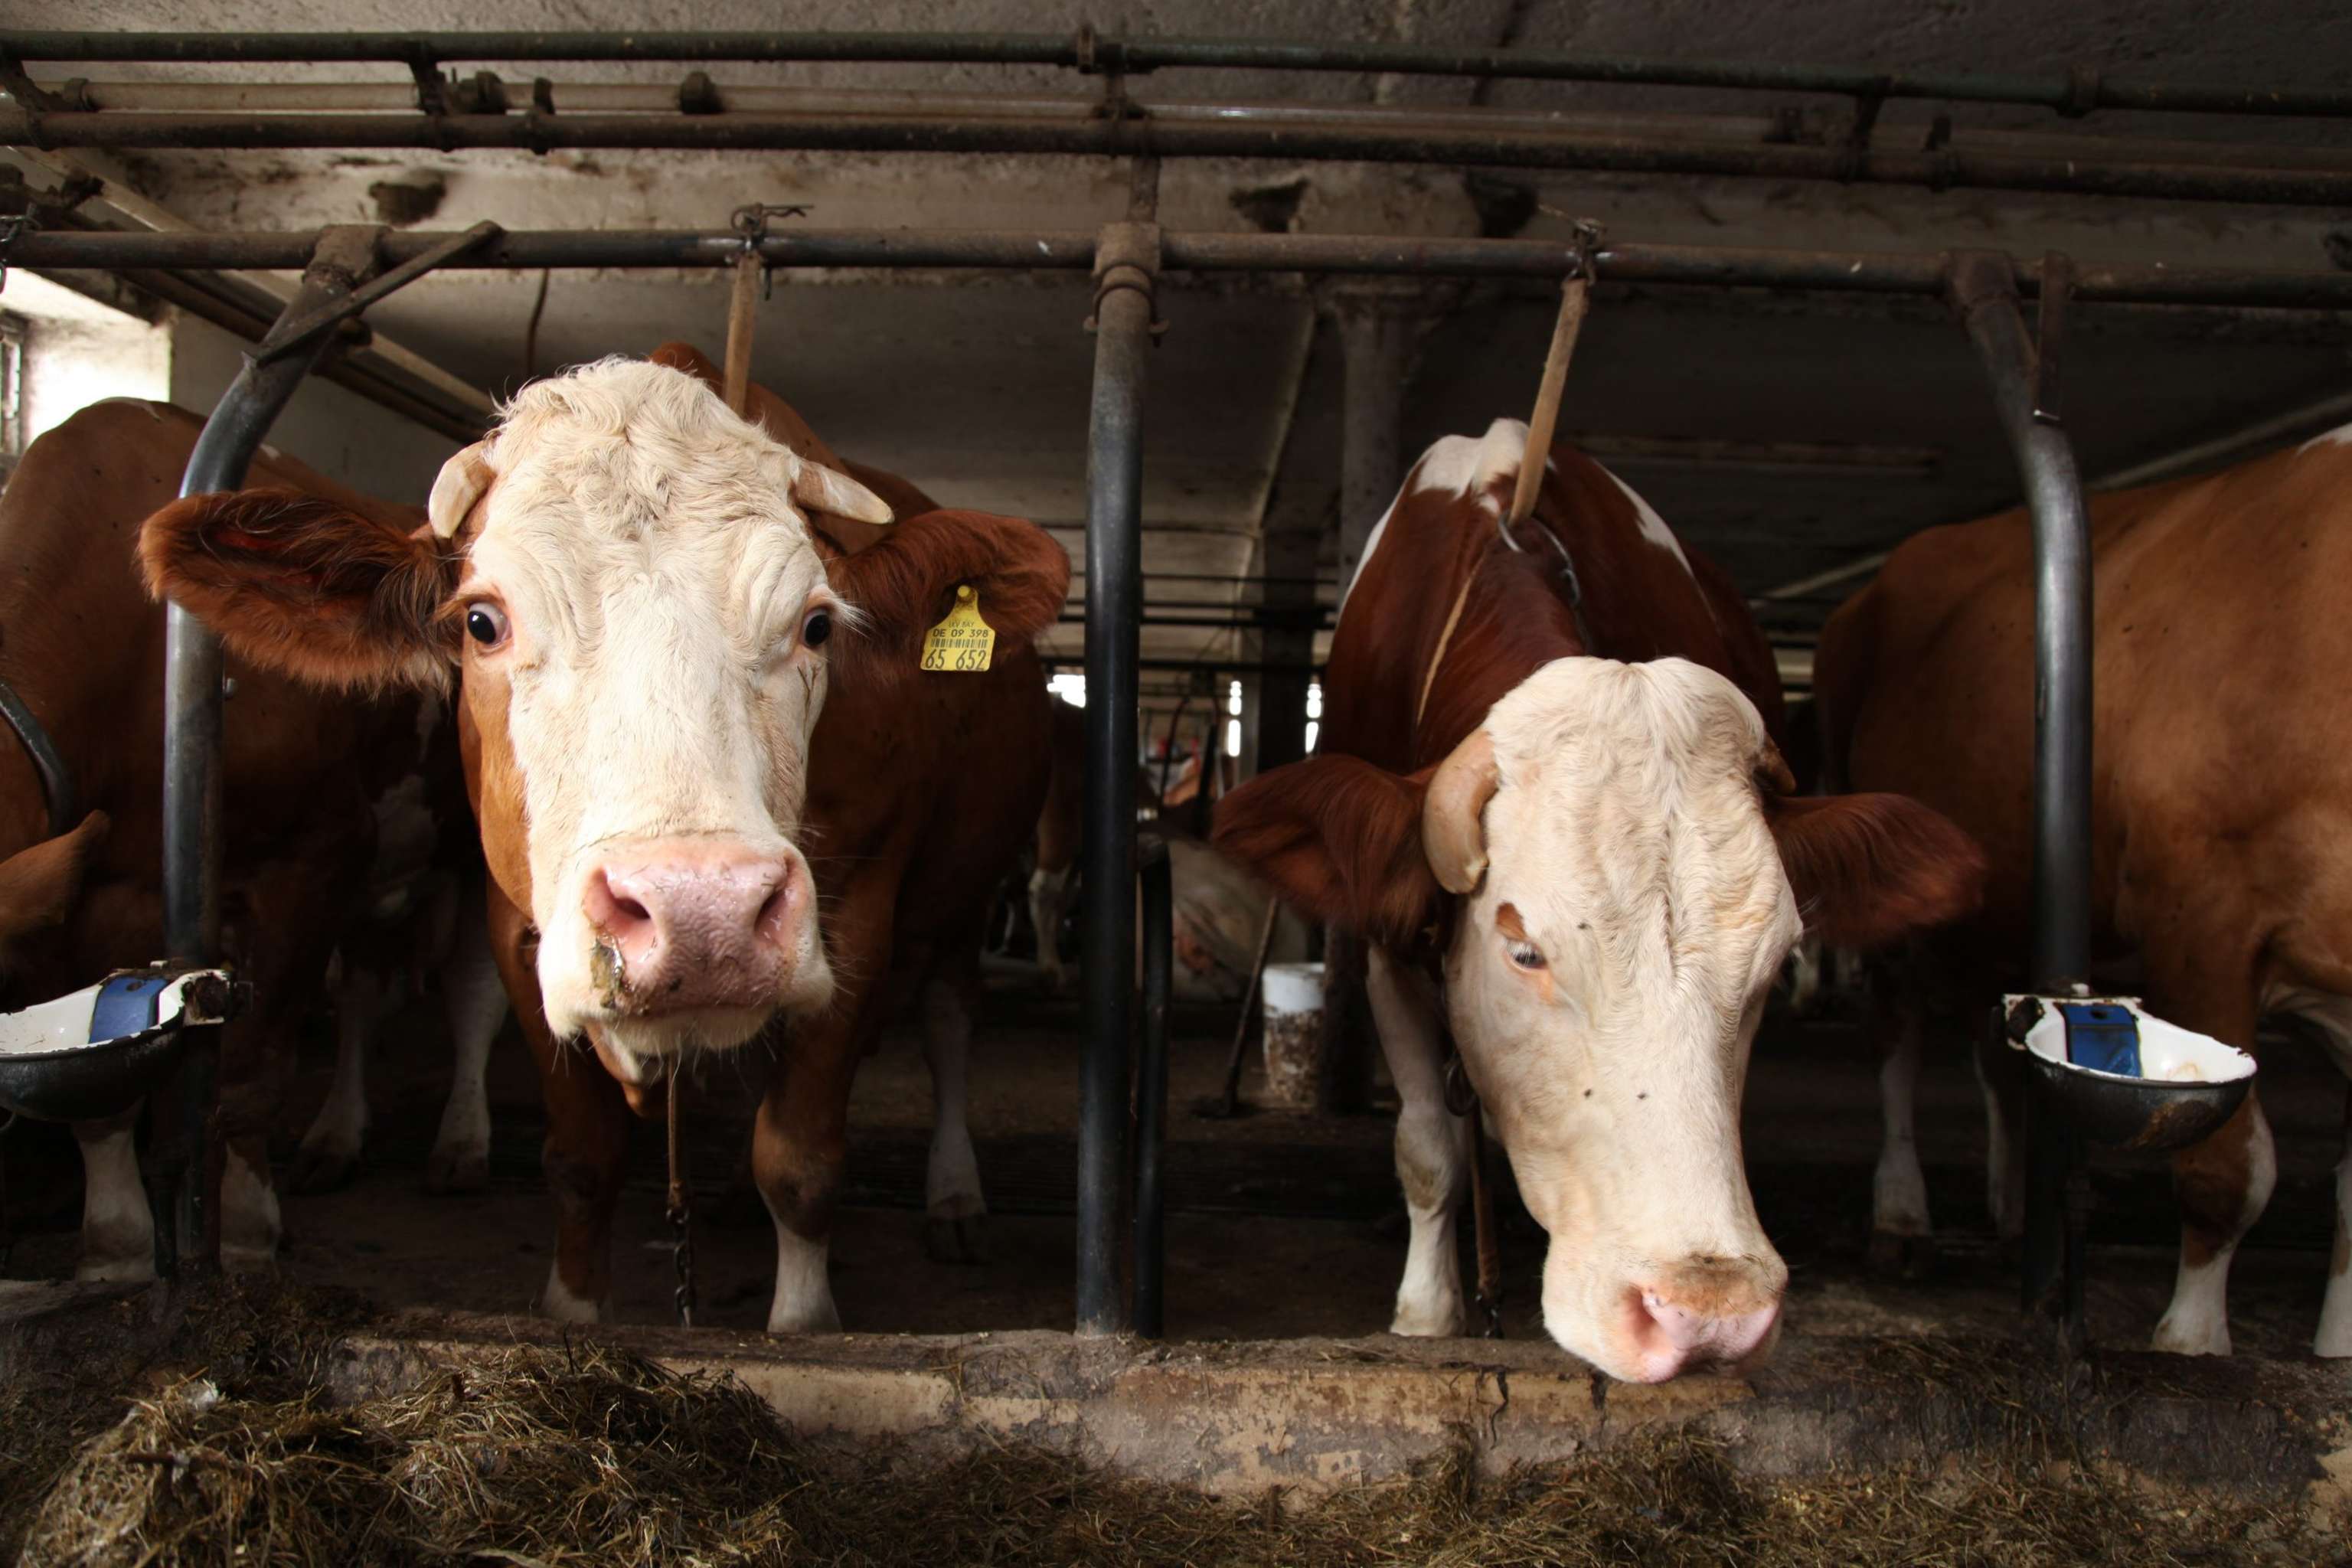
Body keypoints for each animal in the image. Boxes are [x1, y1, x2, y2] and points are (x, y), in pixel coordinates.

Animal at [0, 397, 477, 1279]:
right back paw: (335, 1137)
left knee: (470, 992)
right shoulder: (83, 889)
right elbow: (97, 1090)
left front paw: (248, 1231)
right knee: (363, 992)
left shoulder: (315, 853)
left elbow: (256, 1062)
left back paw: (461, 1142)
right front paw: (115, 1245)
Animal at [142, 345, 1068, 1329]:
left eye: (816, 623)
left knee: (949, 1019)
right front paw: (573, 1306)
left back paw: (955, 1193)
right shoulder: (518, 924)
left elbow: (801, 1161)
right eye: (482, 620)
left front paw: (804, 1324)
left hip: (965, 892)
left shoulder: (858, 915)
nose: (703, 913)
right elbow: (583, 1157)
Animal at [1214, 417, 1982, 1382]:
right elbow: (1426, 1147)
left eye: (1775, 963)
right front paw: (1428, 1313)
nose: (1708, 1316)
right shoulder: (1390, 944)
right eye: (1525, 951)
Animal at [1814, 427, 2352, 1358]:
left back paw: (2010, 1214)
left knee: (1997, 1051)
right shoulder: (2201, 911)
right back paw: (1904, 1218)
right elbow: (2226, 1168)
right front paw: (2191, 1341)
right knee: (1897, 1037)